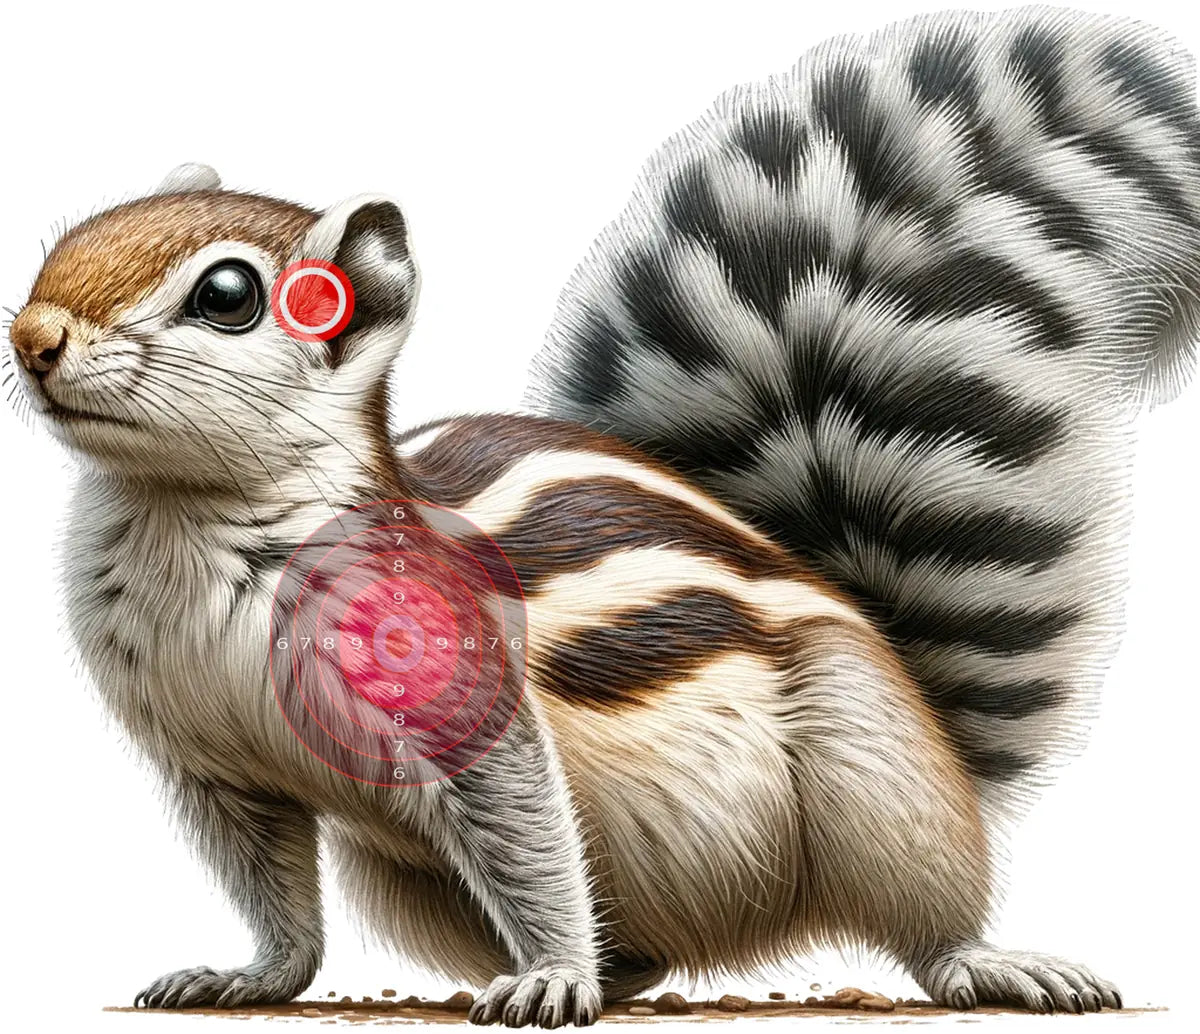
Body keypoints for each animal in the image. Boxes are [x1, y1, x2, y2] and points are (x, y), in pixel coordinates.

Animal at [5, 5, 1194, 1027]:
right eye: (72, 236)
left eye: (229, 295)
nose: (34, 335)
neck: (185, 525)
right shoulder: (215, 763)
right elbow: (274, 892)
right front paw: (251, 975)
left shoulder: (458, 688)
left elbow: (528, 834)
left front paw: (552, 974)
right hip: (406, 879)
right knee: (638, 946)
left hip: (869, 766)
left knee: (922, 900)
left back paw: (980, 959)